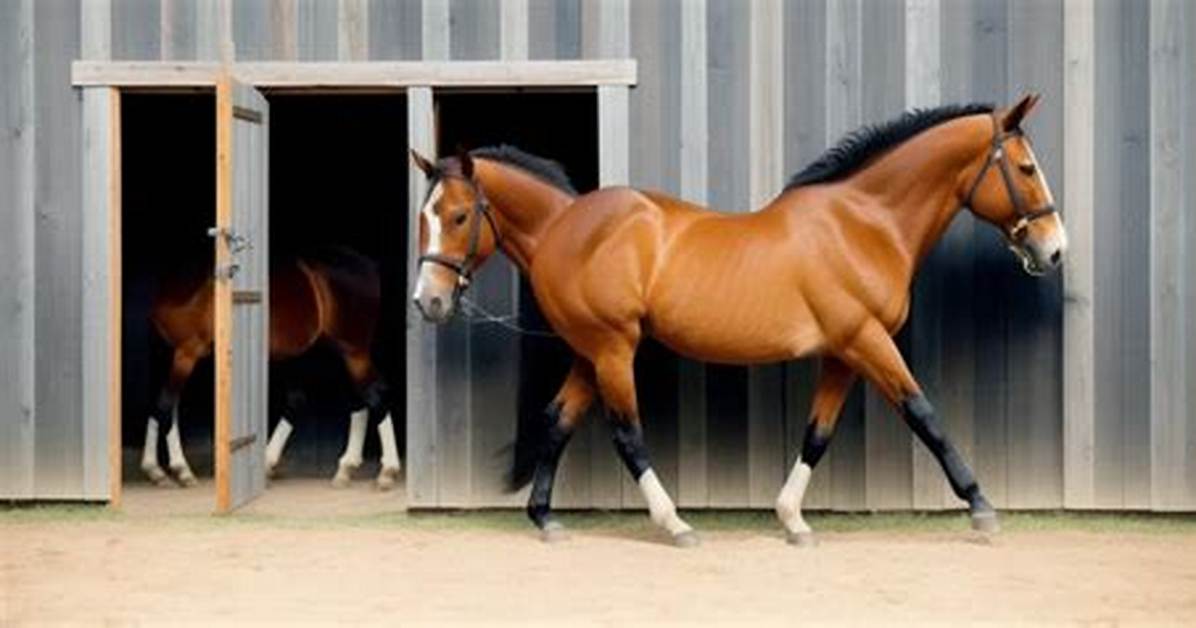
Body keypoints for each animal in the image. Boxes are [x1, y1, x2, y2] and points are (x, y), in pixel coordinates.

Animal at [143, 247, 402, 491]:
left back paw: (386, 472)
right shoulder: (171, 353)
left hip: (353, 351)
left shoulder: (186, 353)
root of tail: (370, 265)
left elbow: (165, 405)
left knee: (374, 395)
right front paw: (153, 469)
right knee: (349, 401)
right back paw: (341, 469)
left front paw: (180, 470)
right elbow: (162, 408)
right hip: (333, 353)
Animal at [411, 94, 1067, 547]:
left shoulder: (843, 352)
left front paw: (793, 521)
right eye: (1027, 169)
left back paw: (545, 518)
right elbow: (924, 415)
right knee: (626, 433)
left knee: (557, 421)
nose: (1054, 248)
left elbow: (818, 433)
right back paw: (675, 525)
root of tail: (563, 221)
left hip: (591, 353)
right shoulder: (867, 340)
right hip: (613, 349)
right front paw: (982, 509)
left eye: (457, 215)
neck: (863, 223)